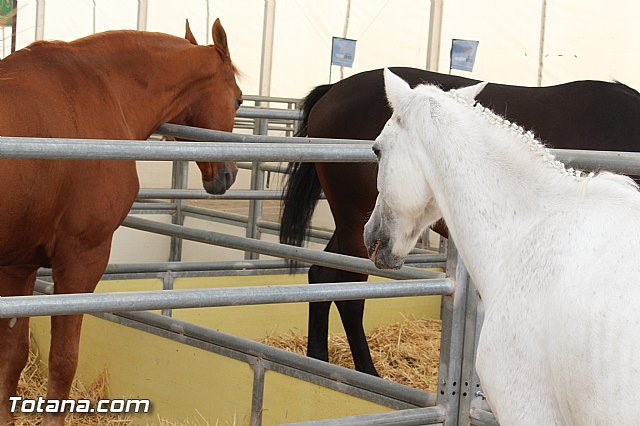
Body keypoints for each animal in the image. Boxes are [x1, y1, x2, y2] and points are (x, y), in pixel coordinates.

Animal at [0, 20, 242, 425]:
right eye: (238, 99)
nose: (228, 174)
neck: (104, 92)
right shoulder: (81, 260)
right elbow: (62, 362)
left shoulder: (19, 265)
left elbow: (12, 358)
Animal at [280, 67, 640, 376]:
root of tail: (333, 90)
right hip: (356, 224)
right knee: (348, 293)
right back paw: (366, 372)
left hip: (350, 226)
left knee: (321, 275)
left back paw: (318, 360)